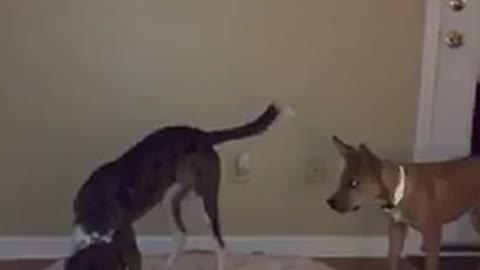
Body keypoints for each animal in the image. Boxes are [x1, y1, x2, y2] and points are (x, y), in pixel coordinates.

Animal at [328, 136, 480, 270]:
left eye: (354, 183)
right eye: (341, 180)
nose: (329, 202)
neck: (401, 190)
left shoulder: (433, 235)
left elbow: (431, 265)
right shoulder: (396, 228)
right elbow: (392, 257)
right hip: (475, 219)